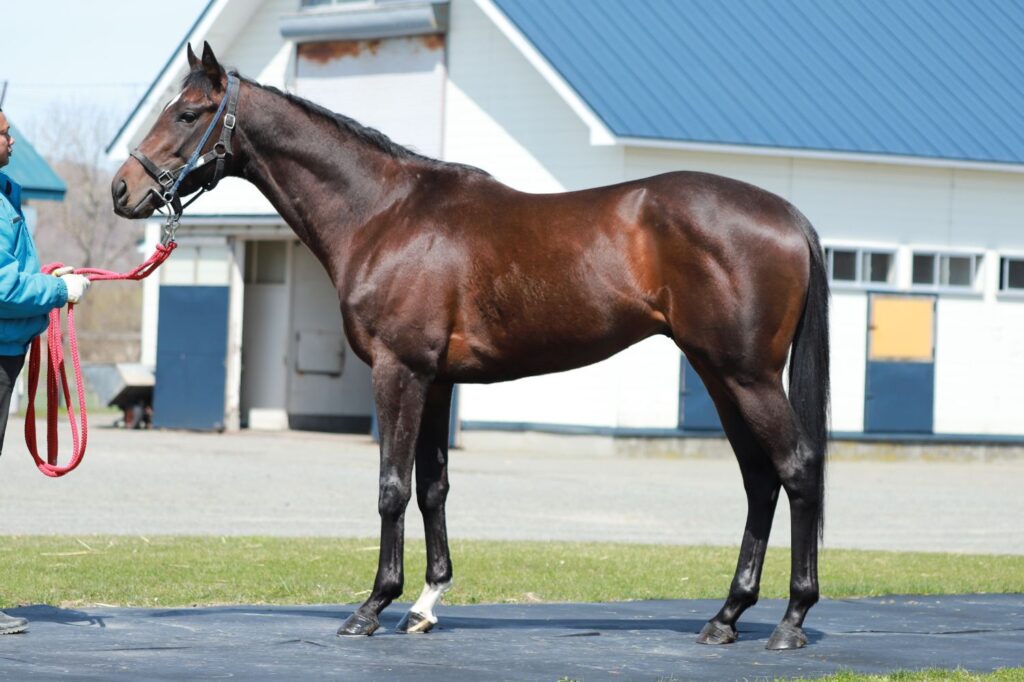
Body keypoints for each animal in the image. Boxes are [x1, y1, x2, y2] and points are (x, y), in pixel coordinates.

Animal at [112, 42, 830, 650]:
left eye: (188, 112)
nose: (124, 189)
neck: (384, 214)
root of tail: (791, 216)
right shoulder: (436, 381)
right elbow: (434, 487)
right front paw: (425, 606)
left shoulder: (398, 373)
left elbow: (392, 487)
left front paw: (373, 606)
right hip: (718, 374)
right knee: (759, 479)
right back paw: (727, 617)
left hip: (747, 377)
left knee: (796, 470)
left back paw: (790, 620)